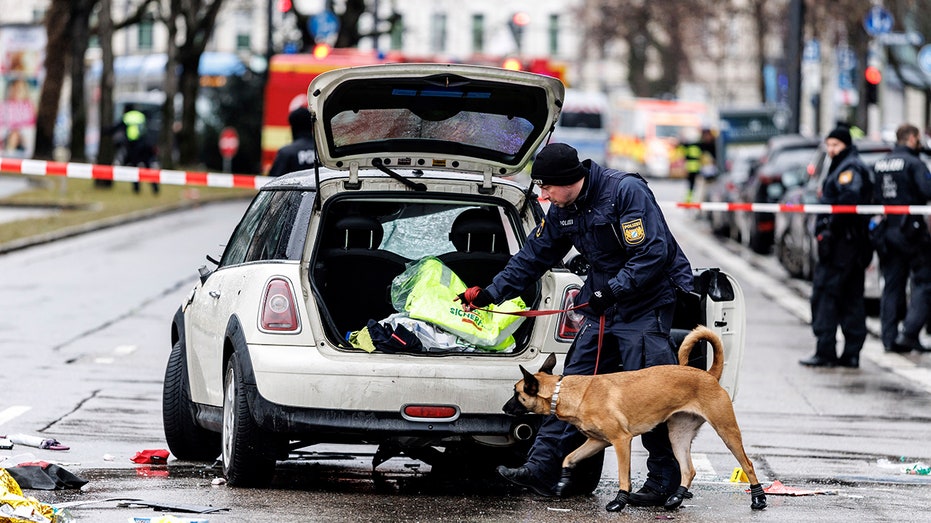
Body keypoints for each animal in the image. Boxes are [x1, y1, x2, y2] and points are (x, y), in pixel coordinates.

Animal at [506, 326, 768, 512]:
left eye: (516, 394)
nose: (505, 408)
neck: (567, 392)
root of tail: (708, 375)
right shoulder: (597, 442)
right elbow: (568, 458)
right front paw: (563, 481)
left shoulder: (621, 441)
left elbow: (624, 476)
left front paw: (619, 501)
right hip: (678, 436)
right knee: (689, 470)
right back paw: (676, 497)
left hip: (727, 431)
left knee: (748, 464)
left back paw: (758, 499)